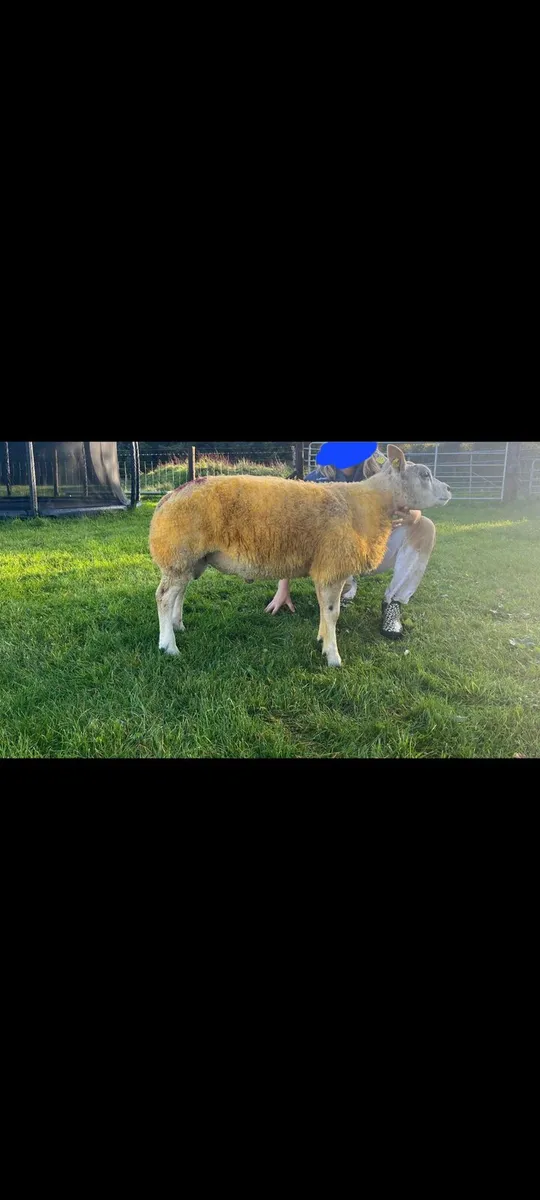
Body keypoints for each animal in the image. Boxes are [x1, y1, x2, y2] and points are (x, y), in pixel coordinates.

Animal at [149, 445, 452, 667]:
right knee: (164, 597)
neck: (368, 505)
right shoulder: (333, 566)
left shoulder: (325, 567)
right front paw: (334, 657)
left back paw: (177, 626)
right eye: (425, 474)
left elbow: (324, 610)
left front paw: (322, 641)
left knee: (179, 593)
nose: (449, 490)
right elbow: (332, 613)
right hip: (178, 554)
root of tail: (169, 496)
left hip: (187, 558)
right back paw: (168, 645)